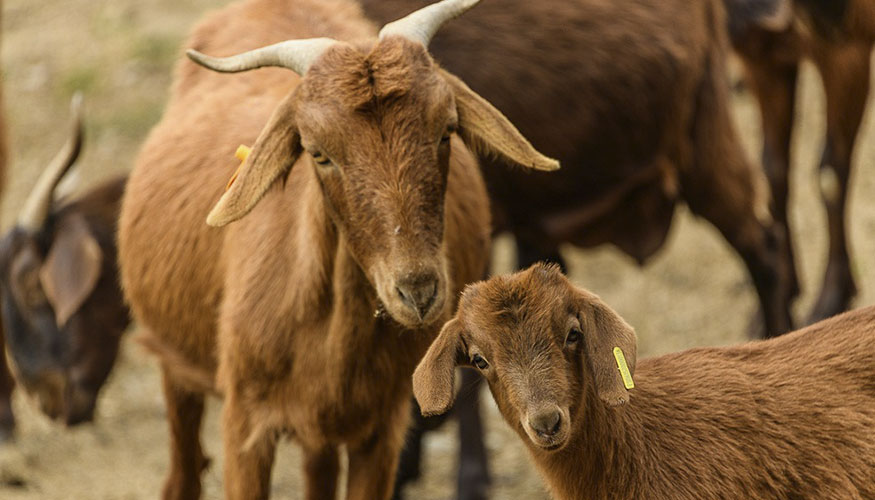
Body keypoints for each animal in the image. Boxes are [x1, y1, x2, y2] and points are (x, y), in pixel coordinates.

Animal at [117, 0, 557, 498]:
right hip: (175, 361)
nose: (418, 291)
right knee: (184, 467)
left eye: (446, 131)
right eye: (318, 153)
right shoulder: (245, 423)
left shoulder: (382, 427)